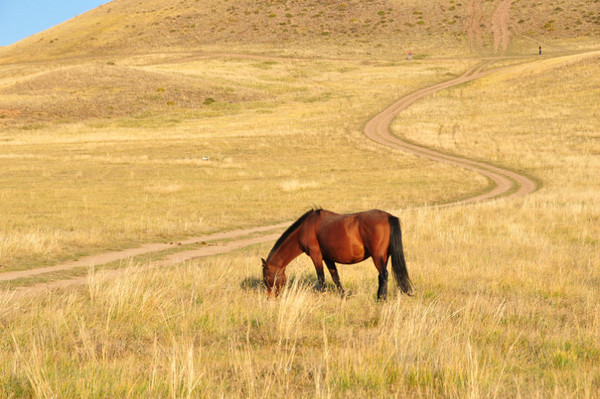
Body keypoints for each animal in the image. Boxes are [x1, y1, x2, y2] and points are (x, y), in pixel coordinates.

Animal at [258, 209, 412, 300]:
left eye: (266, 278)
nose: (269, 298)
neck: (305, 228)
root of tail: (388, 216)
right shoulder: (328, 258)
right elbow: (335, 277)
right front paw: (343, 295)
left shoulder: (316, 255)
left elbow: (321, 278)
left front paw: (322, 296)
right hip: (384, 257)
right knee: (381, 276)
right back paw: (379, 296)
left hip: (377, 257)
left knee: (384, 275)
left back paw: (382, 299)